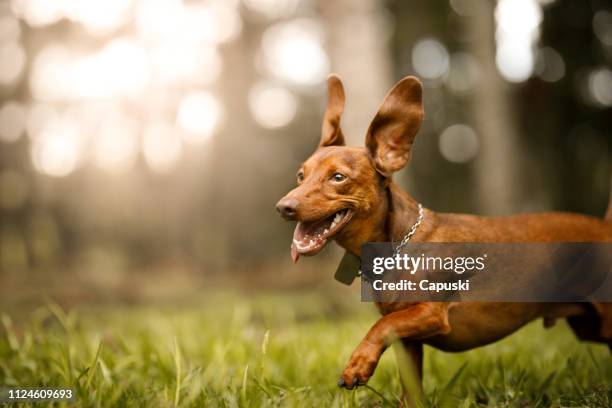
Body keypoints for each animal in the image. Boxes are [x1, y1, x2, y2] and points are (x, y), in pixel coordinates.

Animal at [276, 75, 612, 400]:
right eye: (300, 176)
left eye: (338, 178)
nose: (283, 207)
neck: (398, 246)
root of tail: (605, 226)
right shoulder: (408, 343)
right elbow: (408, 385)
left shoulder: (431, 313)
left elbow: (380, 325)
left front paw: (357, 364)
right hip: (590, 327)